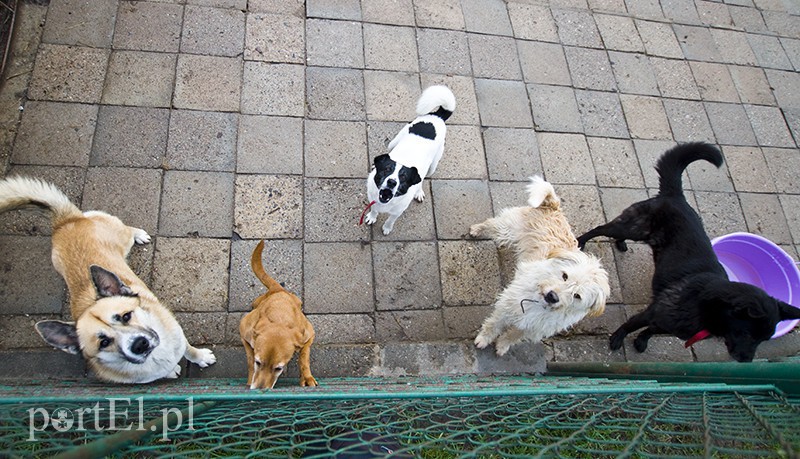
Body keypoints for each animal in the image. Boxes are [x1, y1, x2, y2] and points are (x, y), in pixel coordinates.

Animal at [0, 176, 216, 384]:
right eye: (103, 342)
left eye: (126, 316)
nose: (139, 344)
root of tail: (65, 222)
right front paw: (172, 371)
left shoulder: (180, 337)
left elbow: (190, 350)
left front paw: (202, 357)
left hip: (120, 235)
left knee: (127, 229)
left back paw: (139, 234)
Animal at [238, 241, 316, 392]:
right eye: (258, 362)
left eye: (278, 368)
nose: (260, 389)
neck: (280, 318)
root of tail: (278, 289)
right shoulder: (244, 333)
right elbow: (249, 359)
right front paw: (250, 380)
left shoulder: (310, 334)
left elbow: (304, 357)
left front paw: (307, 377)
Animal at [364, 86, 456, 235]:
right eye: (387, 169)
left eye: (403, 177)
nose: (392, 182)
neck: (386, 203)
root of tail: (437, 116)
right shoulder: (373, 199)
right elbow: (374, 209)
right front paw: (372, 217)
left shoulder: (397, 212)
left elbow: (391, 220)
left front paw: (387, 228)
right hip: (393, 143)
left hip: (432, 166)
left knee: (422, 179)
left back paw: (419, 192)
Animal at [468, 176, 608, 356]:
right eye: (565, 275)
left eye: (577, 296)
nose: (552, 296)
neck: (539, 304)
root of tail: (553, 206)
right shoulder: (506, 308)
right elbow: (494, 324)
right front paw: (484, 339)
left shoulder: (533, 328)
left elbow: (514, 335)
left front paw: (503, 345)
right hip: (506, 229)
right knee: (491, 224)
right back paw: (477, 229)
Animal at [576, 144, 800, 362]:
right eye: (746, 334)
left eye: (763, 340)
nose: (746, 360)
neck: (707, 306)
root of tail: (675, 196)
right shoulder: (653, 312)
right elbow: (631, 325)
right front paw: (617, 338)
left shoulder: (669, 326)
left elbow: (651, 331)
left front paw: (641, 342)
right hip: (631, 227)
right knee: (600, 229)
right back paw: (581, 241)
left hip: (637, 230)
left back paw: (621, 244)